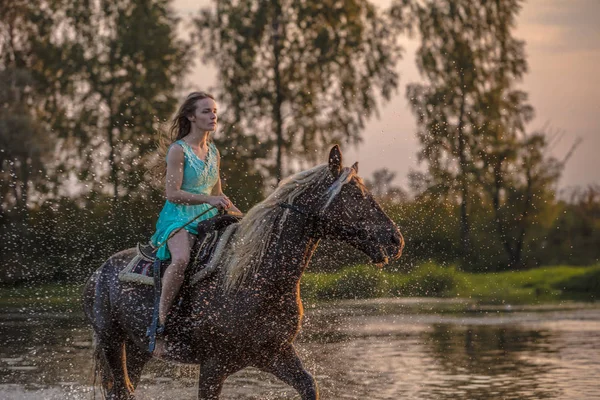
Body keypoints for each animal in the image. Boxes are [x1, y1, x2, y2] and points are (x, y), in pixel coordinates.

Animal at [83, 145, 404, 398]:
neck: (257, 279)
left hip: (137, 350)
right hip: (113, 342)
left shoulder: (275, 353)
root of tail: (98, 273)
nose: (395, 240)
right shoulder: (214, 366)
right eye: (356, 195)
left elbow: (309, 385)